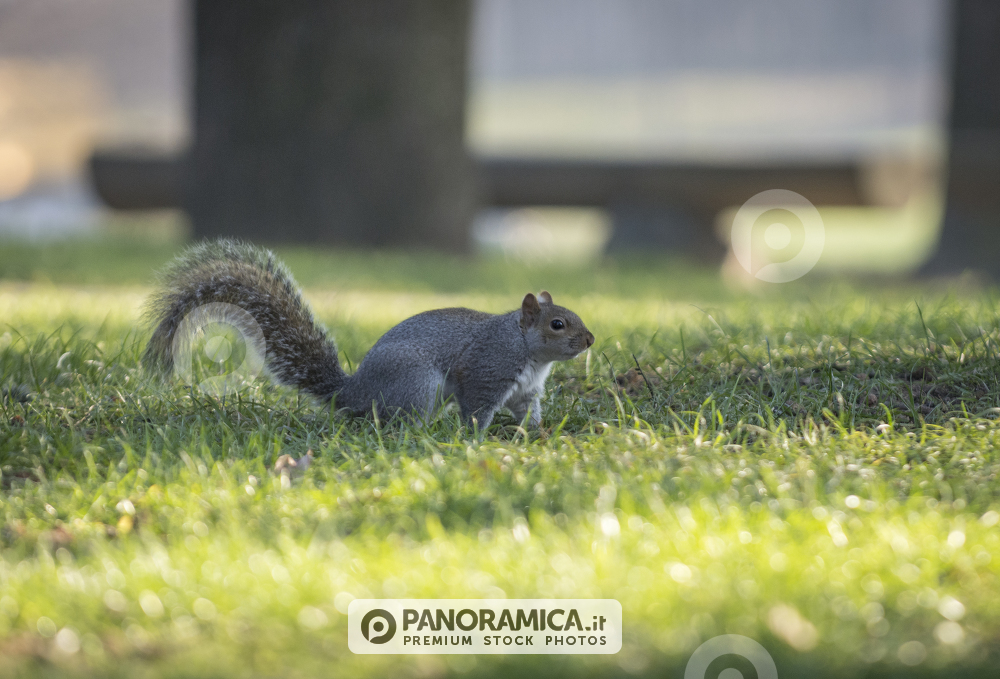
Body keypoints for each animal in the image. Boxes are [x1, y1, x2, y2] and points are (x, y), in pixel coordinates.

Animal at [144, 240, 595, 429]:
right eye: (557, 324)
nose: (590, 340)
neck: (527, 351)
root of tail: (352, 392)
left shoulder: (525, 390)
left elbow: (527, 413)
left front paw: (535, 433)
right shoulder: (487, 370)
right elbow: (477, 411)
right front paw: (476, 440)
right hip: (417, 384)